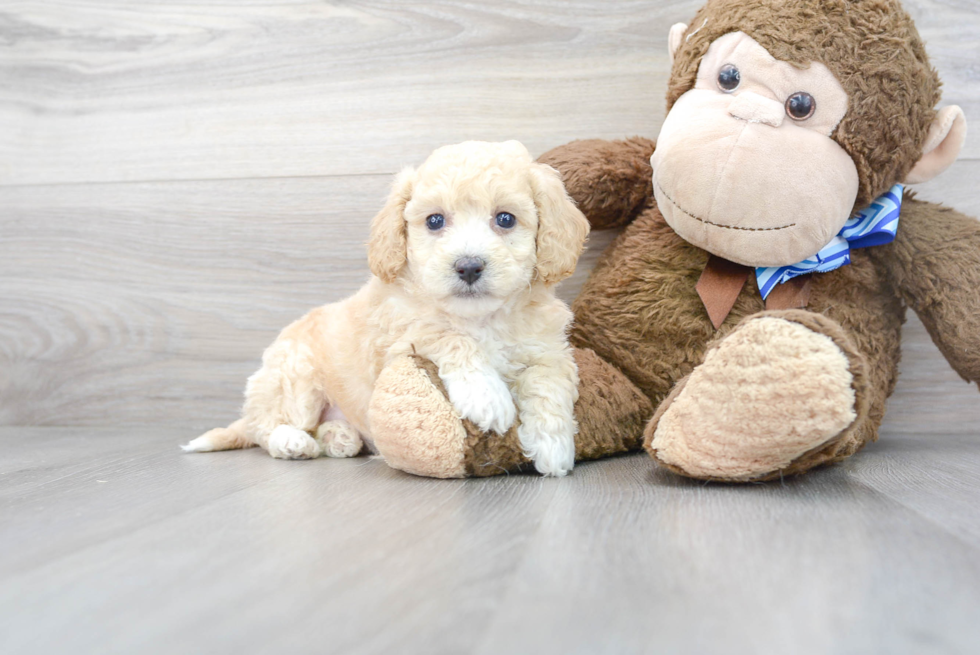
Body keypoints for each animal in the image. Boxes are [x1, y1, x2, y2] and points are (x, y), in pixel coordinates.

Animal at [184, 140, 588, 476]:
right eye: (435, 221)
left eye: (505, 219)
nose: (469, 266)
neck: (480, 318)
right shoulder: (399, 333)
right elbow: (449, 336)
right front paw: (487, 396)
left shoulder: (547, 347)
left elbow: (549, 382)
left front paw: (553, 446)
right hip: (295, 376)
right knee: (268, 426)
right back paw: (293, 441)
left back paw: (339, 437)